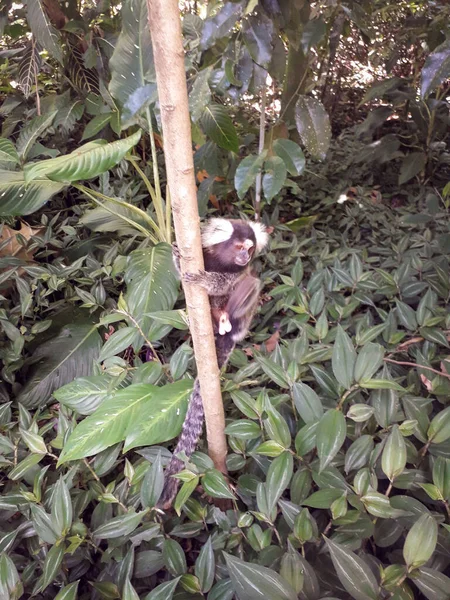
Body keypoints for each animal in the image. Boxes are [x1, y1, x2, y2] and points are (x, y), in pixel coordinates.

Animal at [158, 216, 268, 506]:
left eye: (250, 249)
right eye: (240, 246)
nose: (245, 256)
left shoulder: (237, 272)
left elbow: (227, 281)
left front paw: (206, 279)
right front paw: (176, 255)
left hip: (243, 320)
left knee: (251, 285)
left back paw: (229, 315)